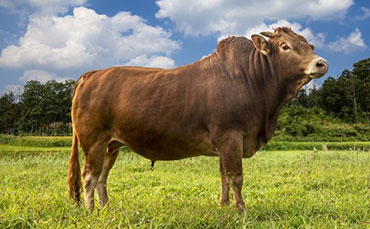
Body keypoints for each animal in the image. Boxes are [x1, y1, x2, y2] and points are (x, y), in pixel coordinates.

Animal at [66, 27, 326, 212]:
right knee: (89, 176)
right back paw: (90, 211)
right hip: (93, 141)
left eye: (309, 45)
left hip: (112, 145)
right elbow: (236, 177)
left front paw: (223, 206)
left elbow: (223, 176)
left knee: (102, 176)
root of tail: (93, 74)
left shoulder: (224, 143)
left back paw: (106, 208)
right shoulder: (231, 136)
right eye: (285, 46)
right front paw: (241, 210)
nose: (321, 63)